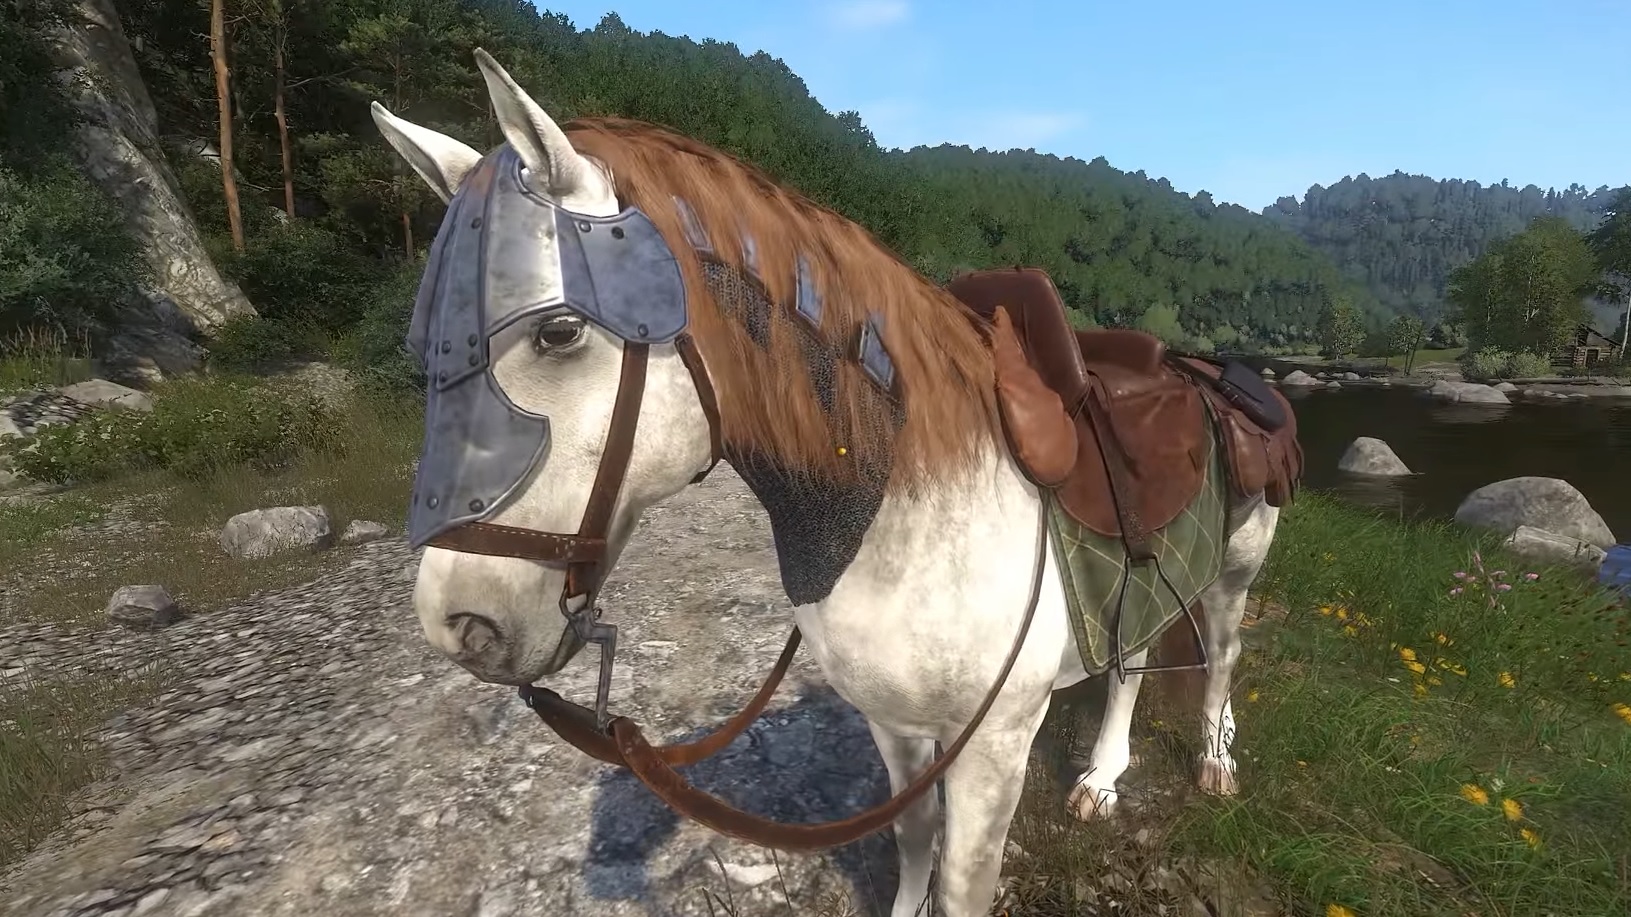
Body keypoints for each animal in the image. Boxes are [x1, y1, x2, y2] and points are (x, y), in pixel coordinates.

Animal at [370, 48, 1301, 917]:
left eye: (559, 332)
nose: (458, 622)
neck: (903, 508)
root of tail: (1200, 368)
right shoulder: (894, 723)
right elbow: (913, 838)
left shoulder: (995, 741)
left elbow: (962, 880)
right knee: (1131, 657)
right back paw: (1101, 779)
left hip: (1235, 570)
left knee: (1220, 655)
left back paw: (1214, 763)